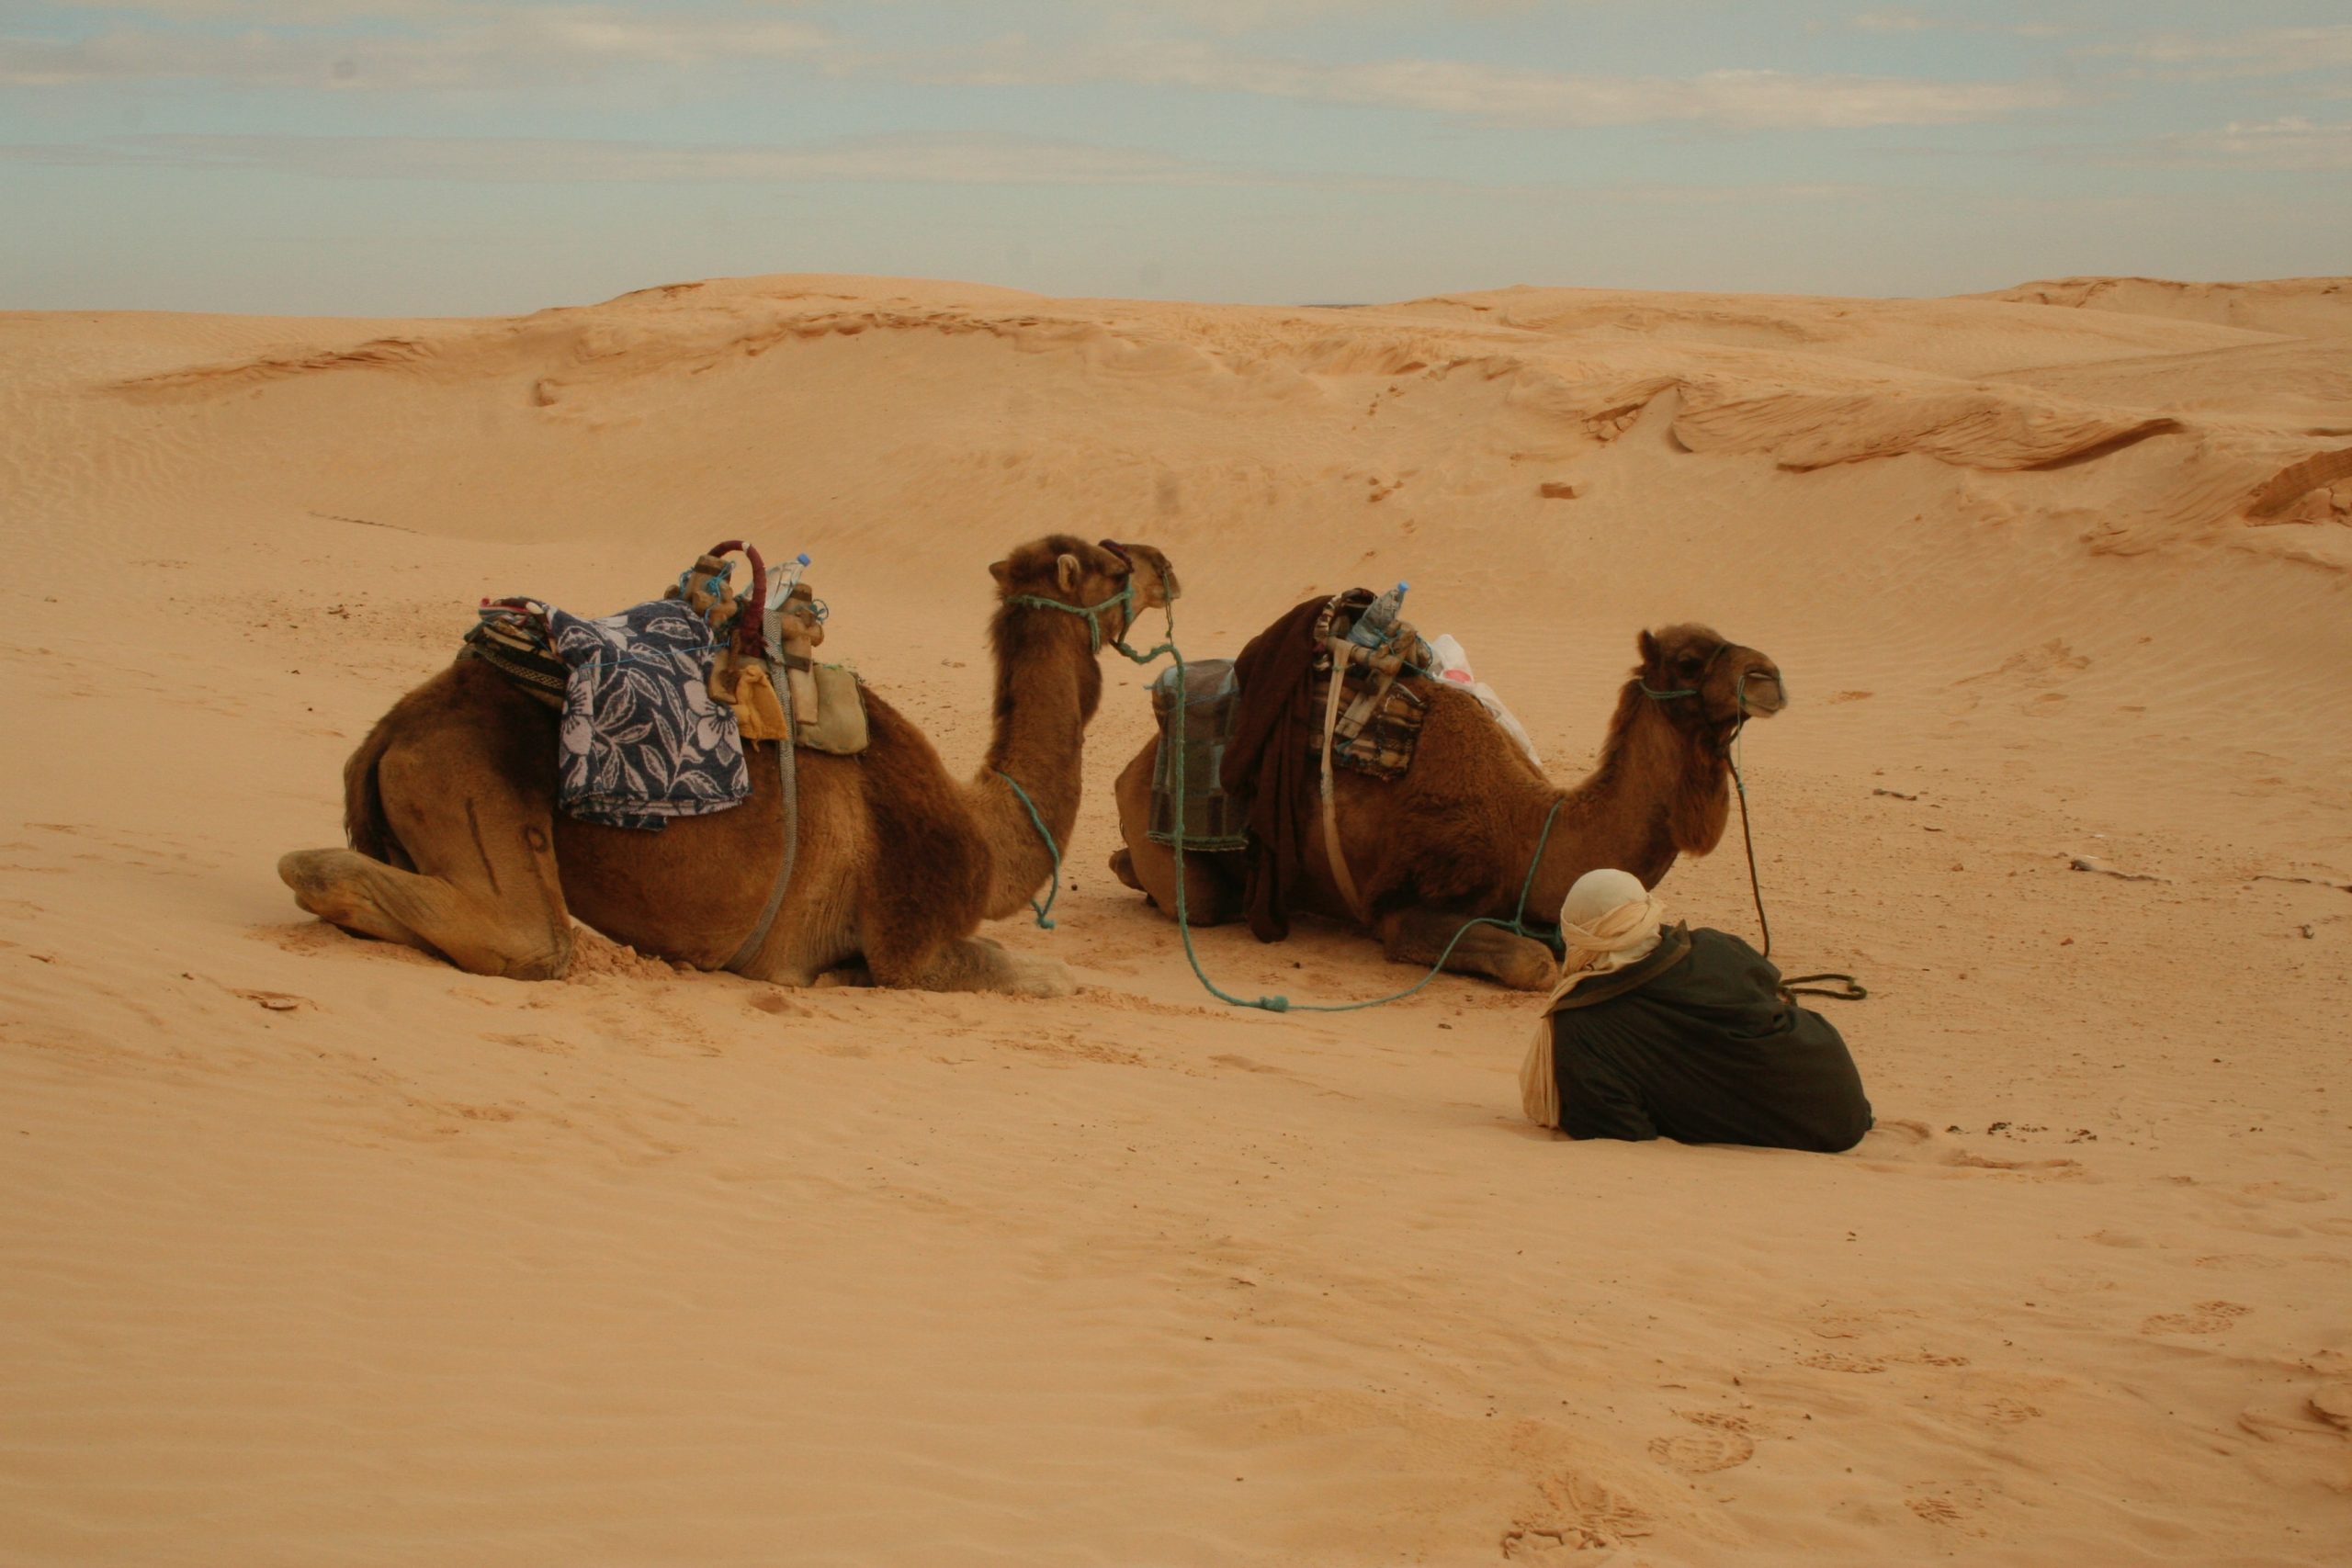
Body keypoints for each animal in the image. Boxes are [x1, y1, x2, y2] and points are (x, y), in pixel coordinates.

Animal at [280, 535, 1177, 995]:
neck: (982, 831)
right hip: (466, 779)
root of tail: (393, 729)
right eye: (1113, 563)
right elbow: (1036, 973)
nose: (1165, 562)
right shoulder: (909, 940)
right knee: (527, 939)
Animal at [1109, 623, 1784, 991]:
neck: (1530, 832)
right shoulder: (1404, 909)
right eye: (1691, 660)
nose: (1769, 675)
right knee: (1200, 899)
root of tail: (1136, 761)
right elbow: (1534, 964)